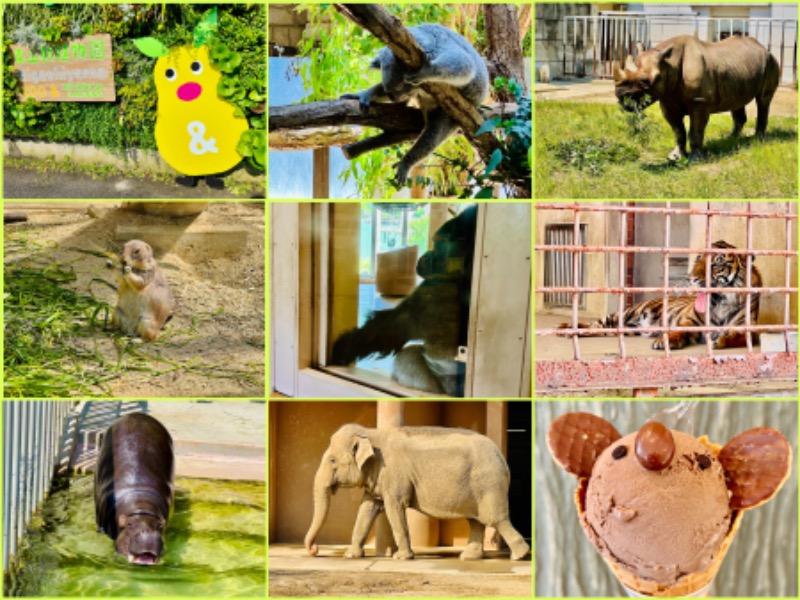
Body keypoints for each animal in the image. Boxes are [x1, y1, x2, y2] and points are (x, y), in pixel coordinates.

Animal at [304, 424, 528, 560]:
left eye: (332, 460)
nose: (314, 550)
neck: (371, 433)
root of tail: (502, 457)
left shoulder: (393, 474)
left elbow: (394, 508)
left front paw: (401, 558)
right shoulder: (379, 477)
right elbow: (367, 509)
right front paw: (351, 556)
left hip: (488, 484)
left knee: (495, 519)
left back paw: (519, 556)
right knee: (476, 520)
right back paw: (468, 557)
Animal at [330, 204, 478, 396]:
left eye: (438, 244)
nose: (424, 256)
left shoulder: (438, 286)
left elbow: (396, 324)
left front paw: (344, 347)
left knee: (408, 355)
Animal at [560, 240, 760, 350]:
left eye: (716, 263)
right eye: (698, 258)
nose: (691, 278)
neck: (721, 303)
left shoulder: (749, 329)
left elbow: (738, 337)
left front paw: (721, 340)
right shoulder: (689, 321)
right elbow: (678, 331)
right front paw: (666, 341)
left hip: (628, 329)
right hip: (625, 314)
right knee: (597, 324)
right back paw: (568, 328)